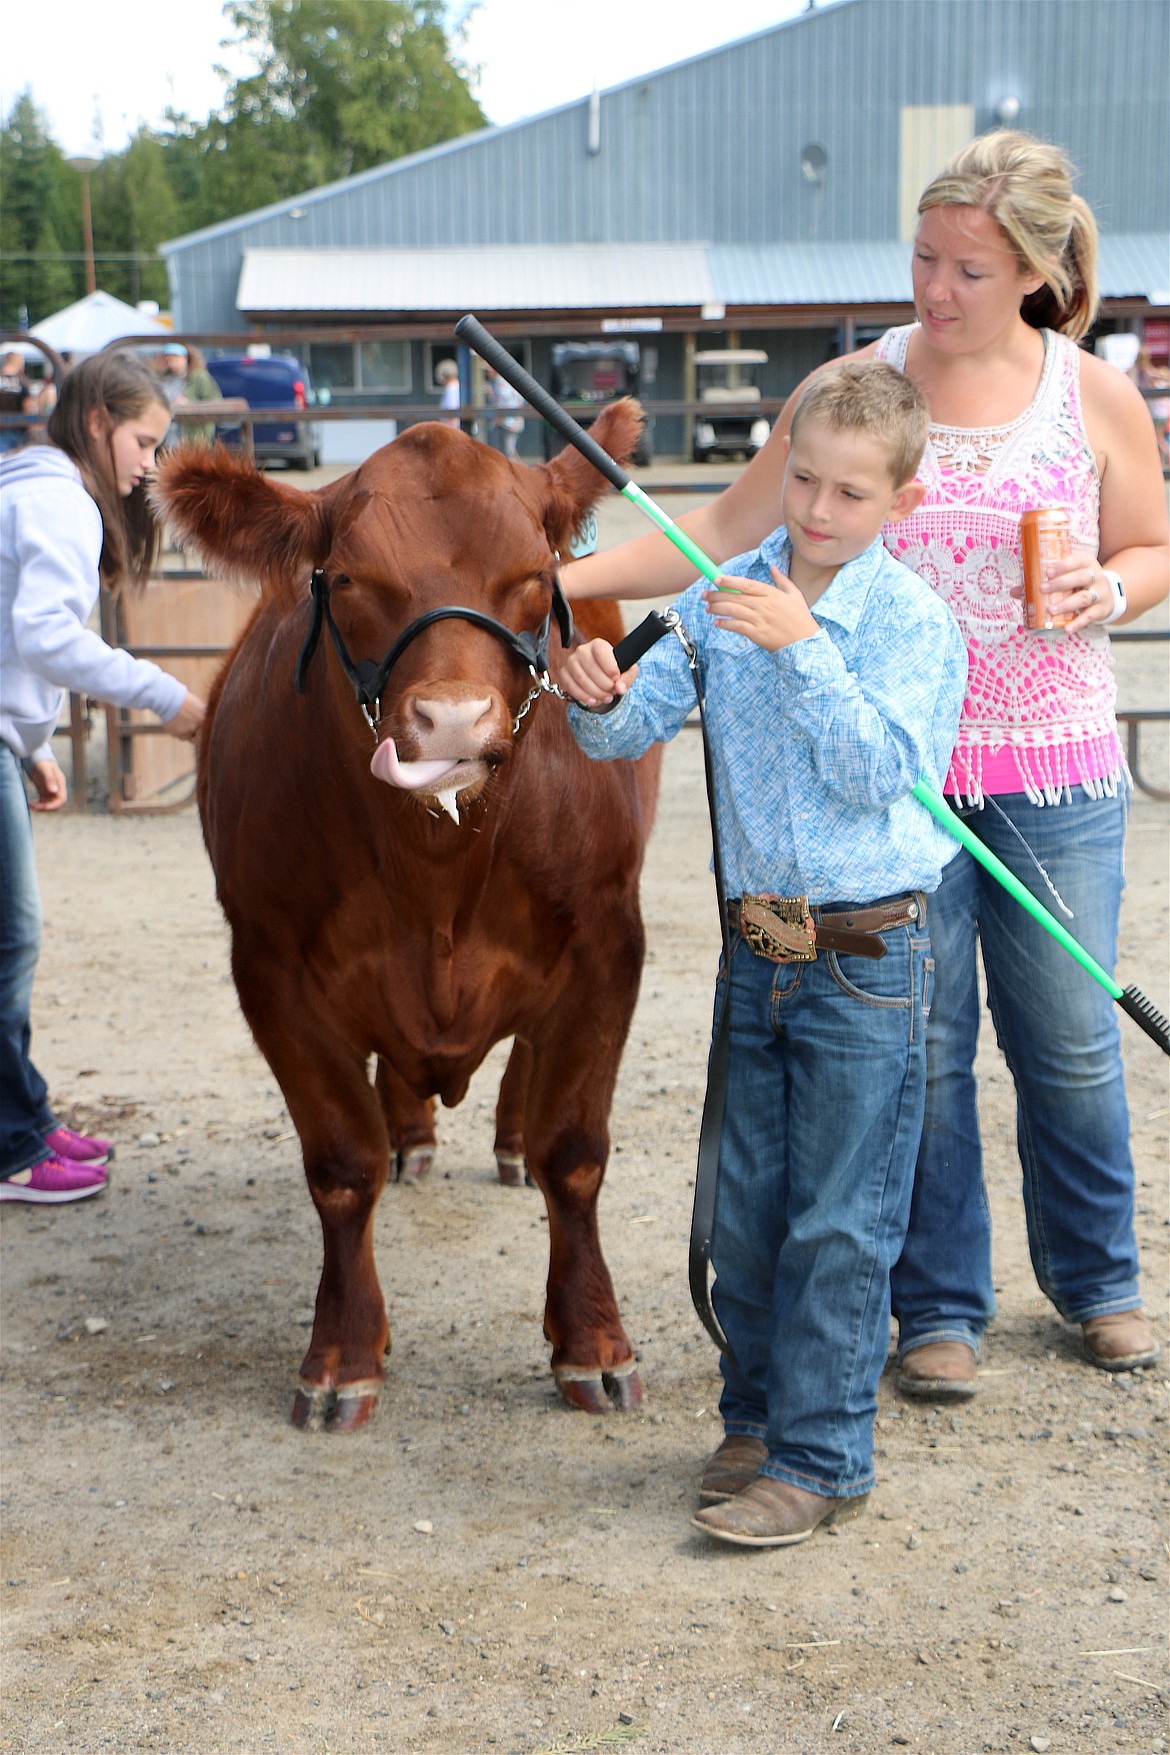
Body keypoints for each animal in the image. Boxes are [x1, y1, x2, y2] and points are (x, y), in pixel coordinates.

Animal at [157, 403, 659, 1432]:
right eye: (348, 578)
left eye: (535, 574)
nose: (454, 723)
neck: (436, 881)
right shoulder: (269, 969)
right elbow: (340, 1164)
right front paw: (345, 1352)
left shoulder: (608, 945)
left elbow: (575, 1149)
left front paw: (593, 1341)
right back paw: (413, 1138)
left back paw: (503, 1141)